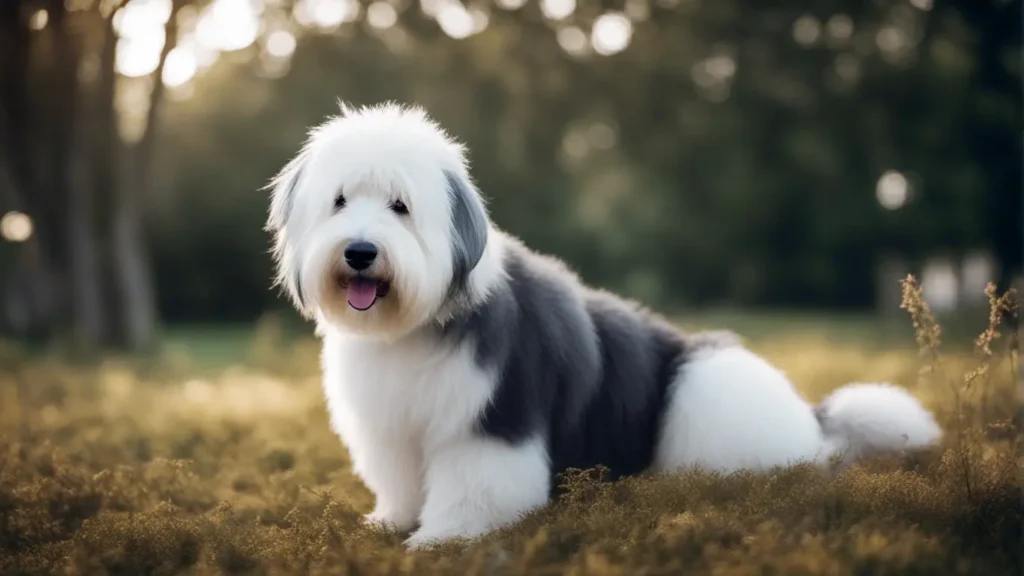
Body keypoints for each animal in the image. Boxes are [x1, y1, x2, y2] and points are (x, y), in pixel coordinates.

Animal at [266, 101, 942, 545]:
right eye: (340, 201)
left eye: (400, 207)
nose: (359, 252)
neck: (420, 319)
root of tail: (809, 423)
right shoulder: (394, 423)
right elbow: (401, 481)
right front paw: (391, 523)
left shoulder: (493, 417)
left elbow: (476, 487)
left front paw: (443, 539)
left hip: (704, 390)